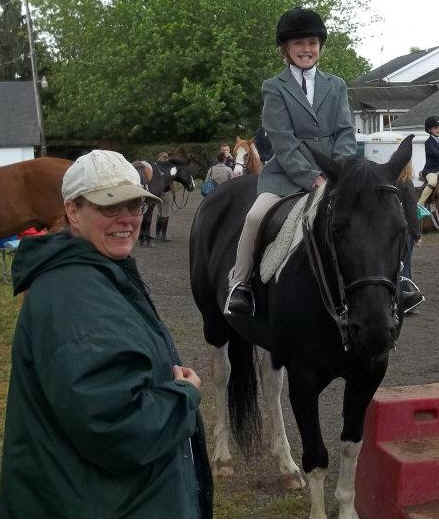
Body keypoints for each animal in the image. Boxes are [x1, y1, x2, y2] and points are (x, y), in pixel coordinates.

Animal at [190, 135, 416, 516]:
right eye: (337, 229)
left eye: (400, 230)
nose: (374, 329)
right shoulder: (305, 379)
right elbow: (317, 456)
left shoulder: (368, 374)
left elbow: (351, 447)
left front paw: (348, 510)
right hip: (214, 325)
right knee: (221, 377)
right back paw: (222, 459)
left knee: (270, 385)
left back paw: (284, 464)